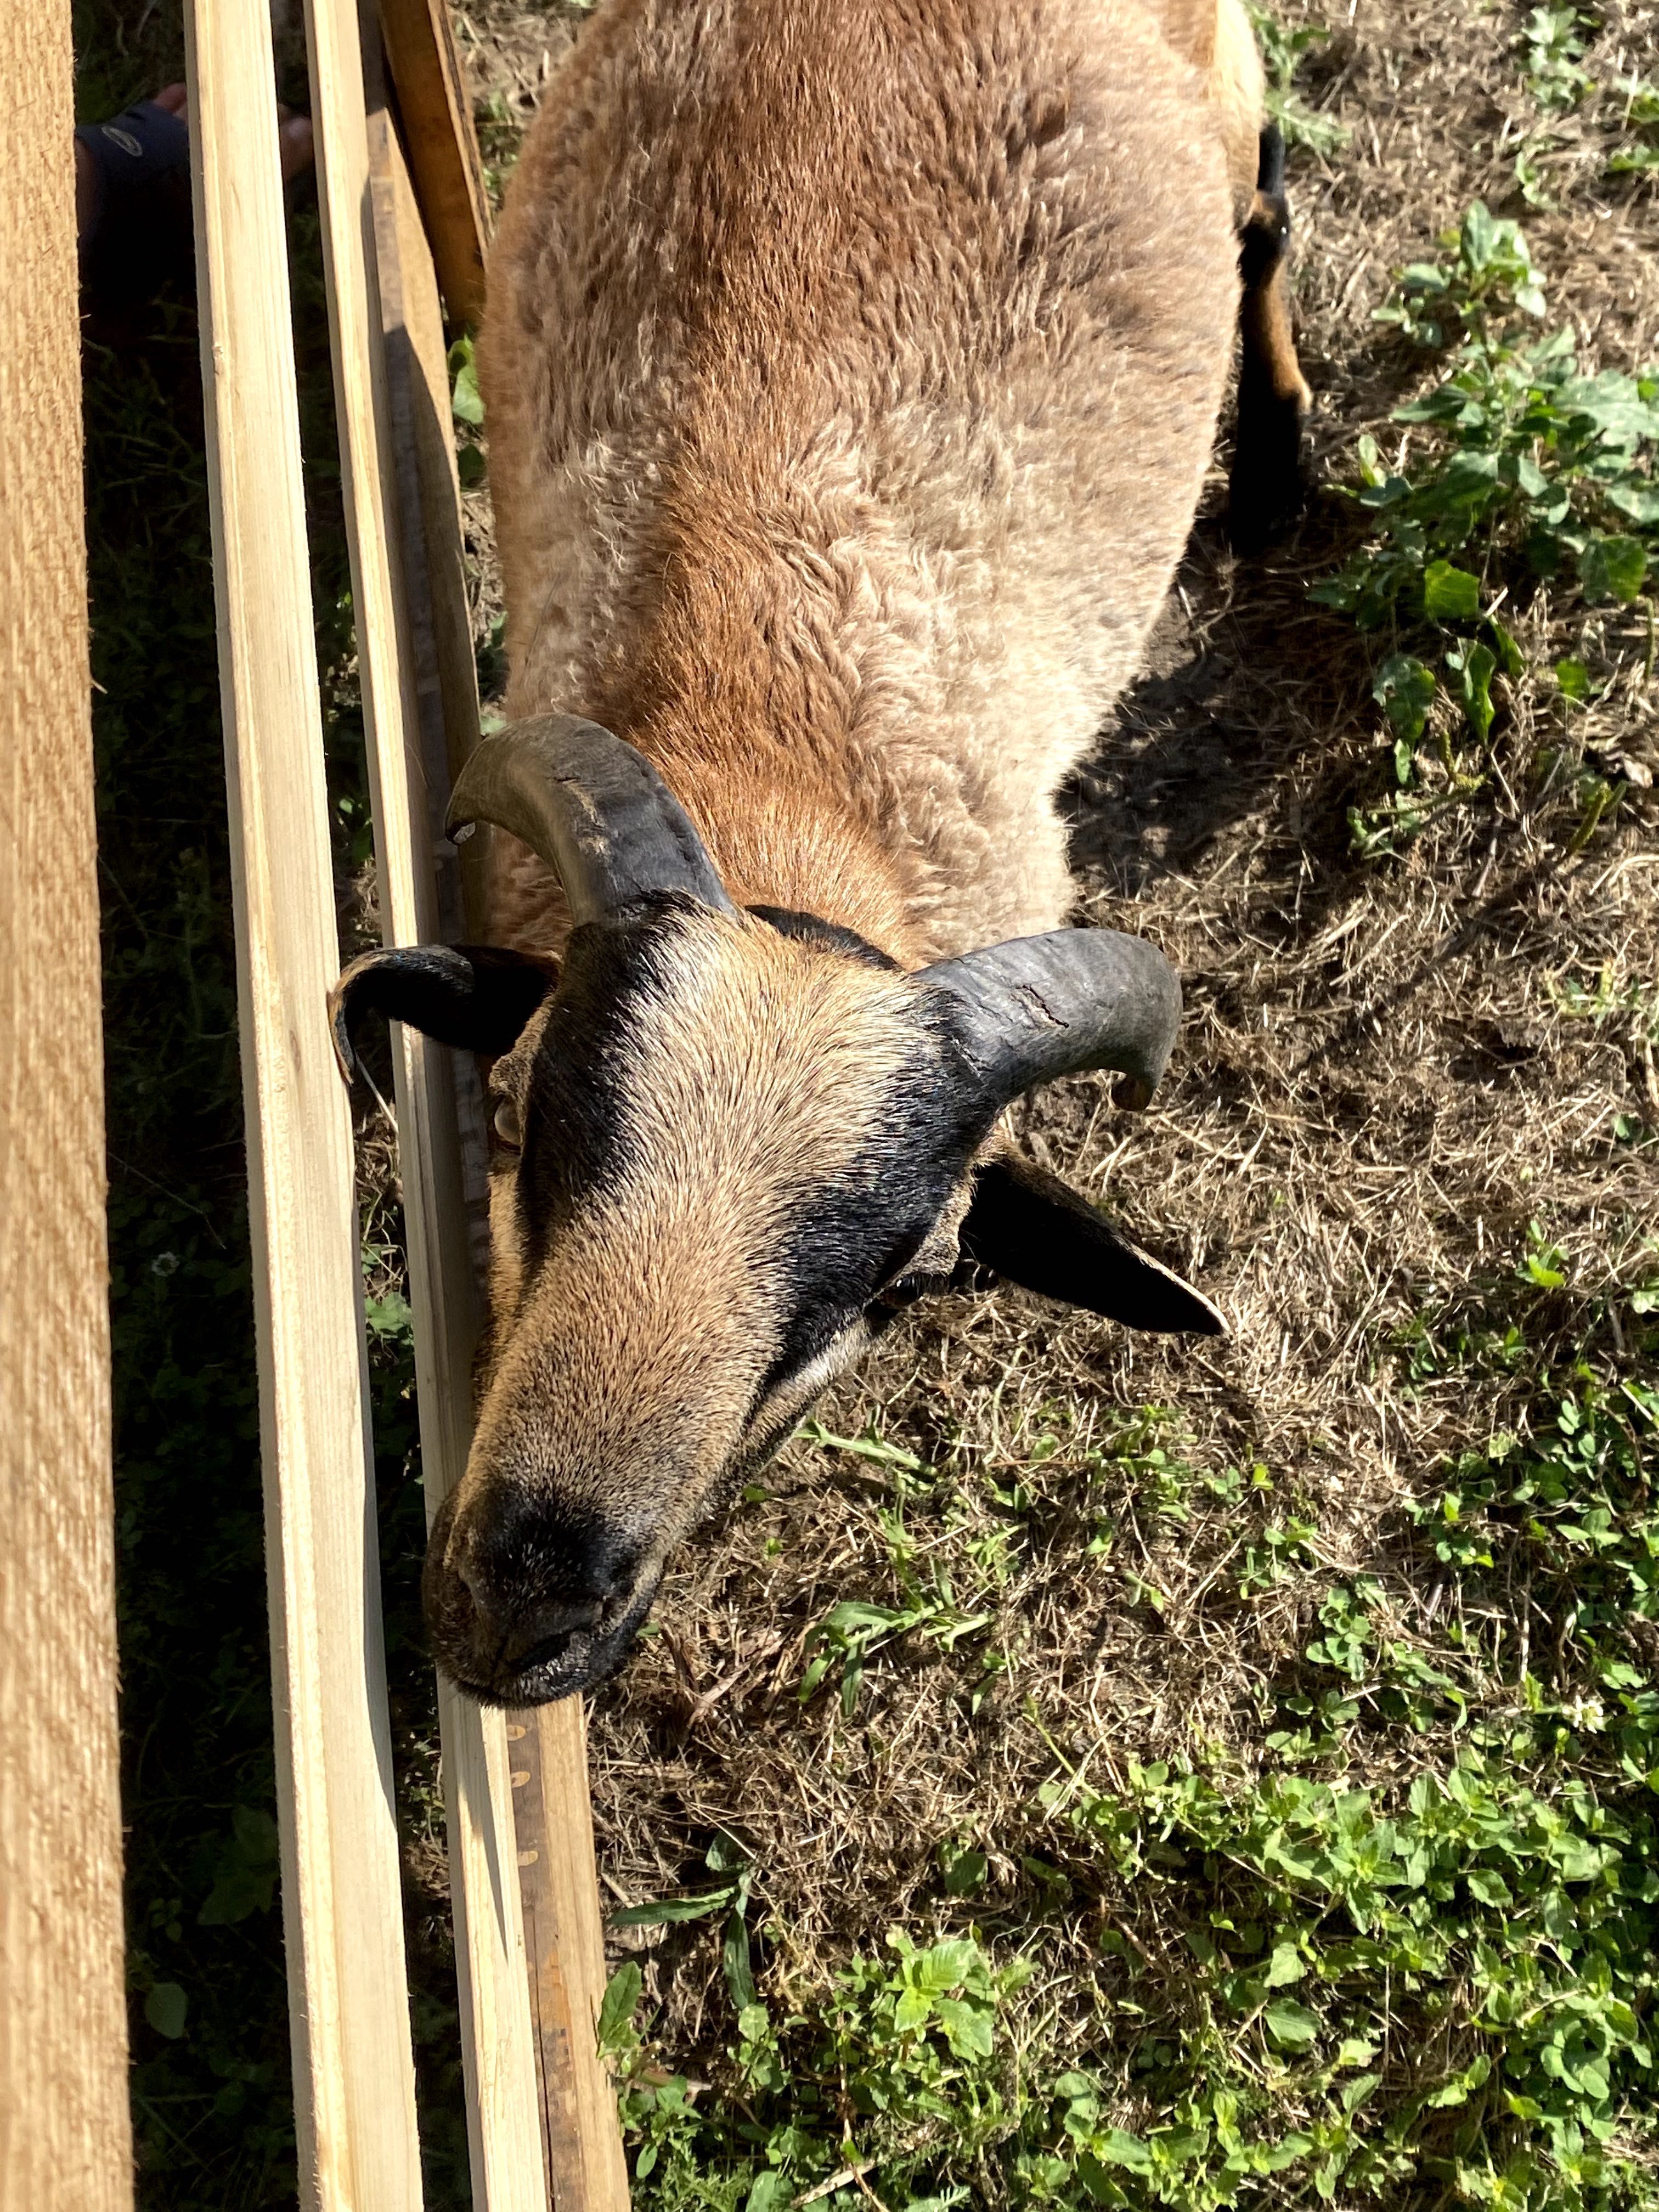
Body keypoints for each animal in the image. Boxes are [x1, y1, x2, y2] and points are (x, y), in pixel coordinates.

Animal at [334, 0, 1309, 1699]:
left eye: (904, 1282)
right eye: (510, 1110)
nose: (523, 1611)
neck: (780, 780)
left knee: (1267, 203)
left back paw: (1282, 479)